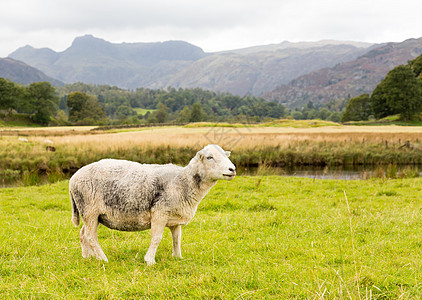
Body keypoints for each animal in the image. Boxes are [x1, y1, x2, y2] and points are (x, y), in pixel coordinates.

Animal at [69, 144, 234, 264]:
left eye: (225, 155)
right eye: (209, 157)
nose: (232, 169)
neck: (184, 181)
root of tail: (73, 178)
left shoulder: (175, 217)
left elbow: (177, 238)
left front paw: (178, 257)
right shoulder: (160, 213)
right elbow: (156, 238)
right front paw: (150, 261)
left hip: (92, 214)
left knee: (83, 234)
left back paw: (88, 257)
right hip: (90, 209)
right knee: (91, 237)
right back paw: (103, 259)